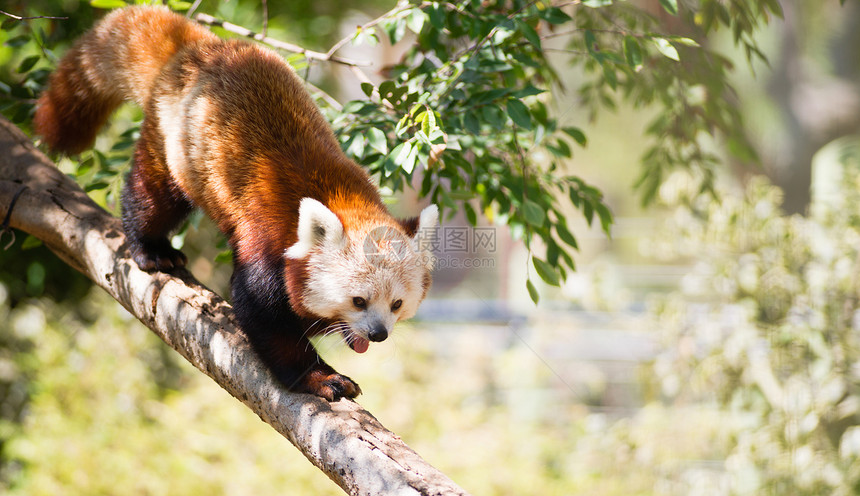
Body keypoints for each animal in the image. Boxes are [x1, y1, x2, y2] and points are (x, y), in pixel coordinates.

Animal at [32, 5, 436, 402]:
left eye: (397, 304)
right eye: (358, 301)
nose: (379, 333)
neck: (341, 196)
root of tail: (200, 47)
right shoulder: (268, 241)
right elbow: (264, 316)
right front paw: (320, 378)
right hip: (175, 148)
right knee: (153, 197)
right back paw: (152, 249)